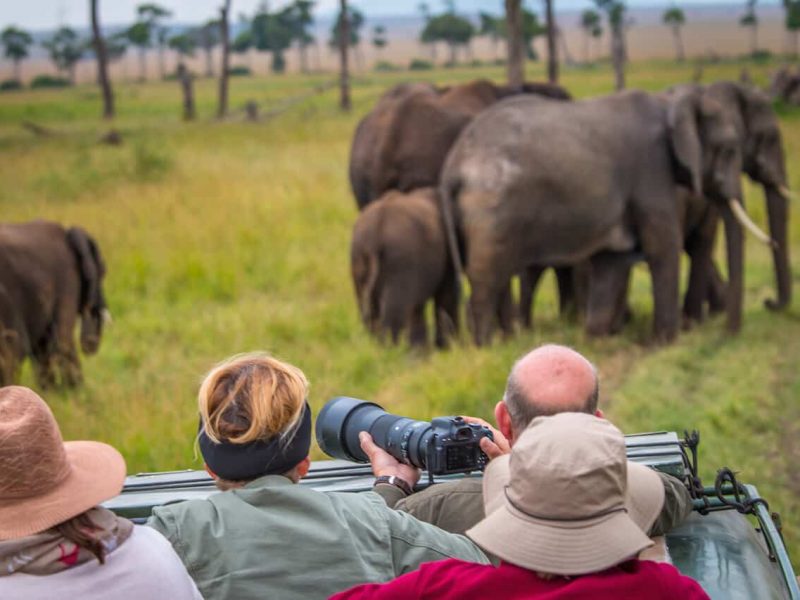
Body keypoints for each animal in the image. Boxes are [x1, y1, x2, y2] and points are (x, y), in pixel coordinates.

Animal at [350, 186, 456, 346]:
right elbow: (448, 295)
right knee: (394, 313)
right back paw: (391, 350)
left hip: (358, 258)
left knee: (367, 309)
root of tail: (374, 235)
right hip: (400, 260)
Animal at [438, 86, 744, 344]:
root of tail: (454, 164)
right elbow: (662, 246)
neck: (670, 101)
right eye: (729, 149)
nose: (726, 337)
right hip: (492, 214)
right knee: (488, 281)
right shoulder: (651, 169)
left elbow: (612, 260)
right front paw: (664, 343)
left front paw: (597, 338)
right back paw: (487, 347)